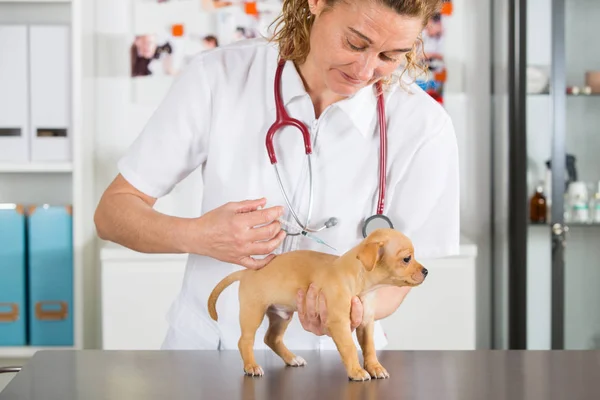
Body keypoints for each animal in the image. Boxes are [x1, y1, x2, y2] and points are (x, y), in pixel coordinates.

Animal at [209, 228, 428, 382]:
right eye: (407, 258)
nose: (426, 271)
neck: (360, 283)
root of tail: (247, 272)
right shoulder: (339, 324)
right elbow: (349, 347)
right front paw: (357, 371)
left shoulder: (366, 323)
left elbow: (369, 347)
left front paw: (375, 367)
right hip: (253, 312)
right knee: (245, 341)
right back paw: (251, 366)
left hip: (281, 316)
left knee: (271, 338)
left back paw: (292, 359)